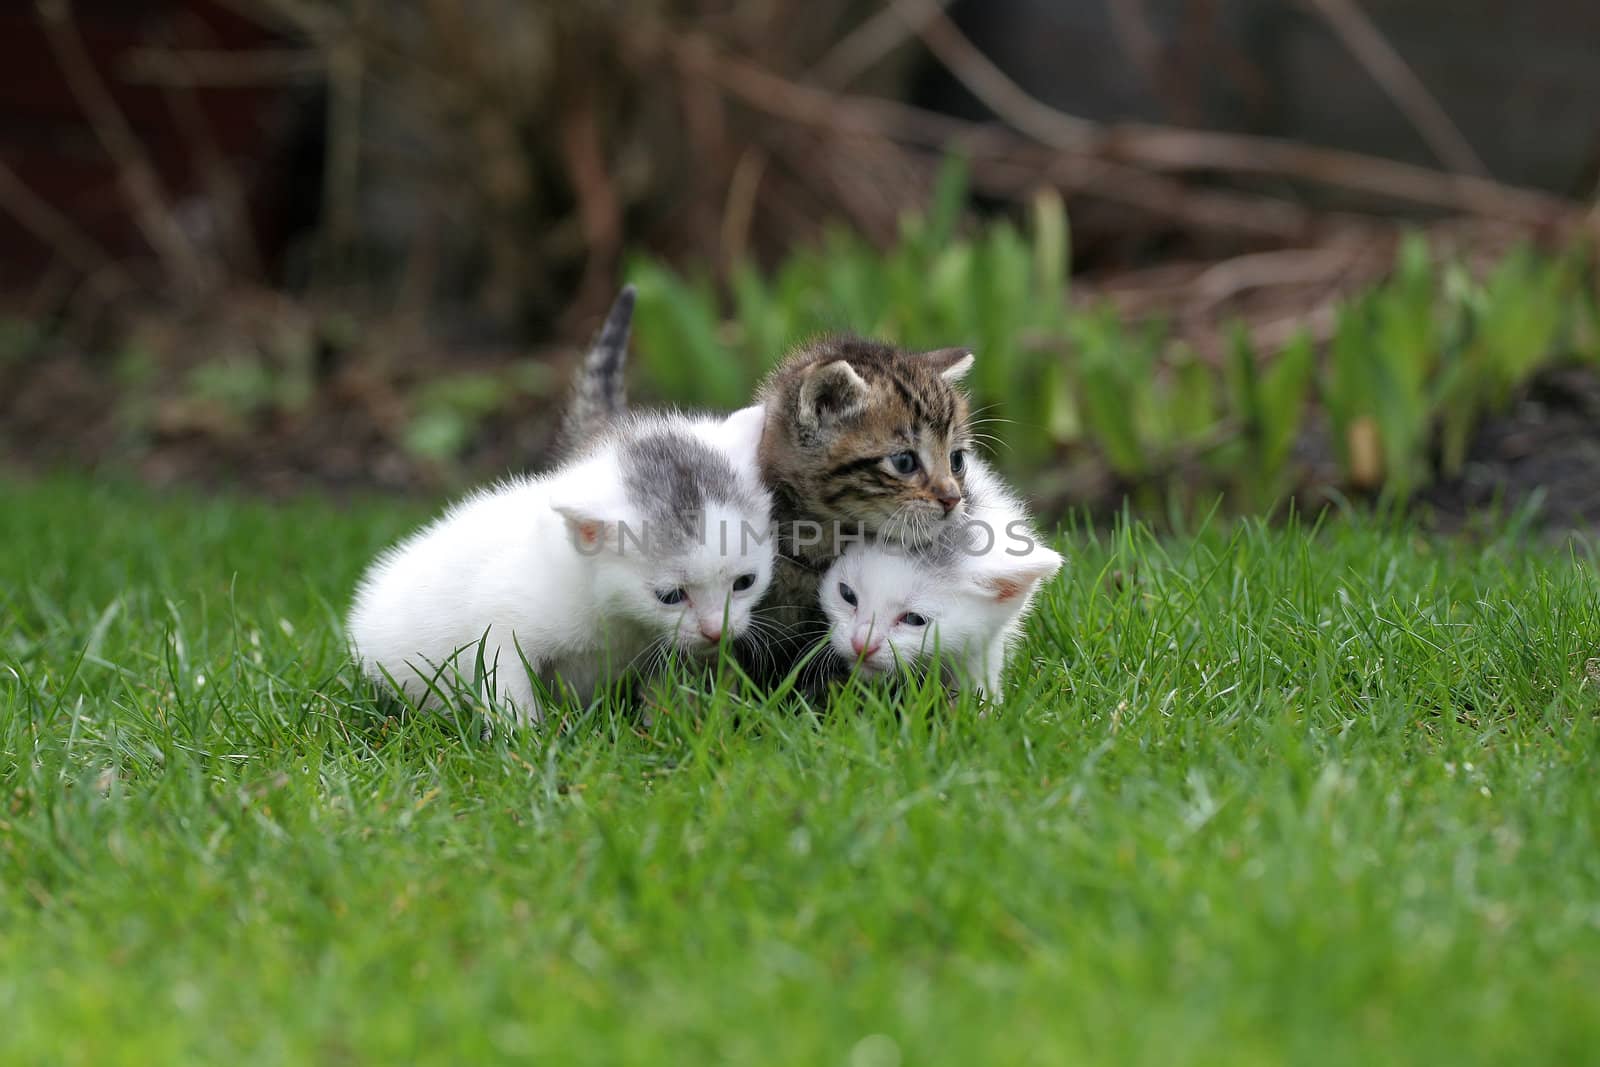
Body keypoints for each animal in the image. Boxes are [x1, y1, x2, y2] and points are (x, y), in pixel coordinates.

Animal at [348, 404, 774, 723]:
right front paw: (524, 745)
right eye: (670, 596)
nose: (716, 633)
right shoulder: (501, 621)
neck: (616, 617)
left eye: (745, 582)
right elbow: (510, 688)